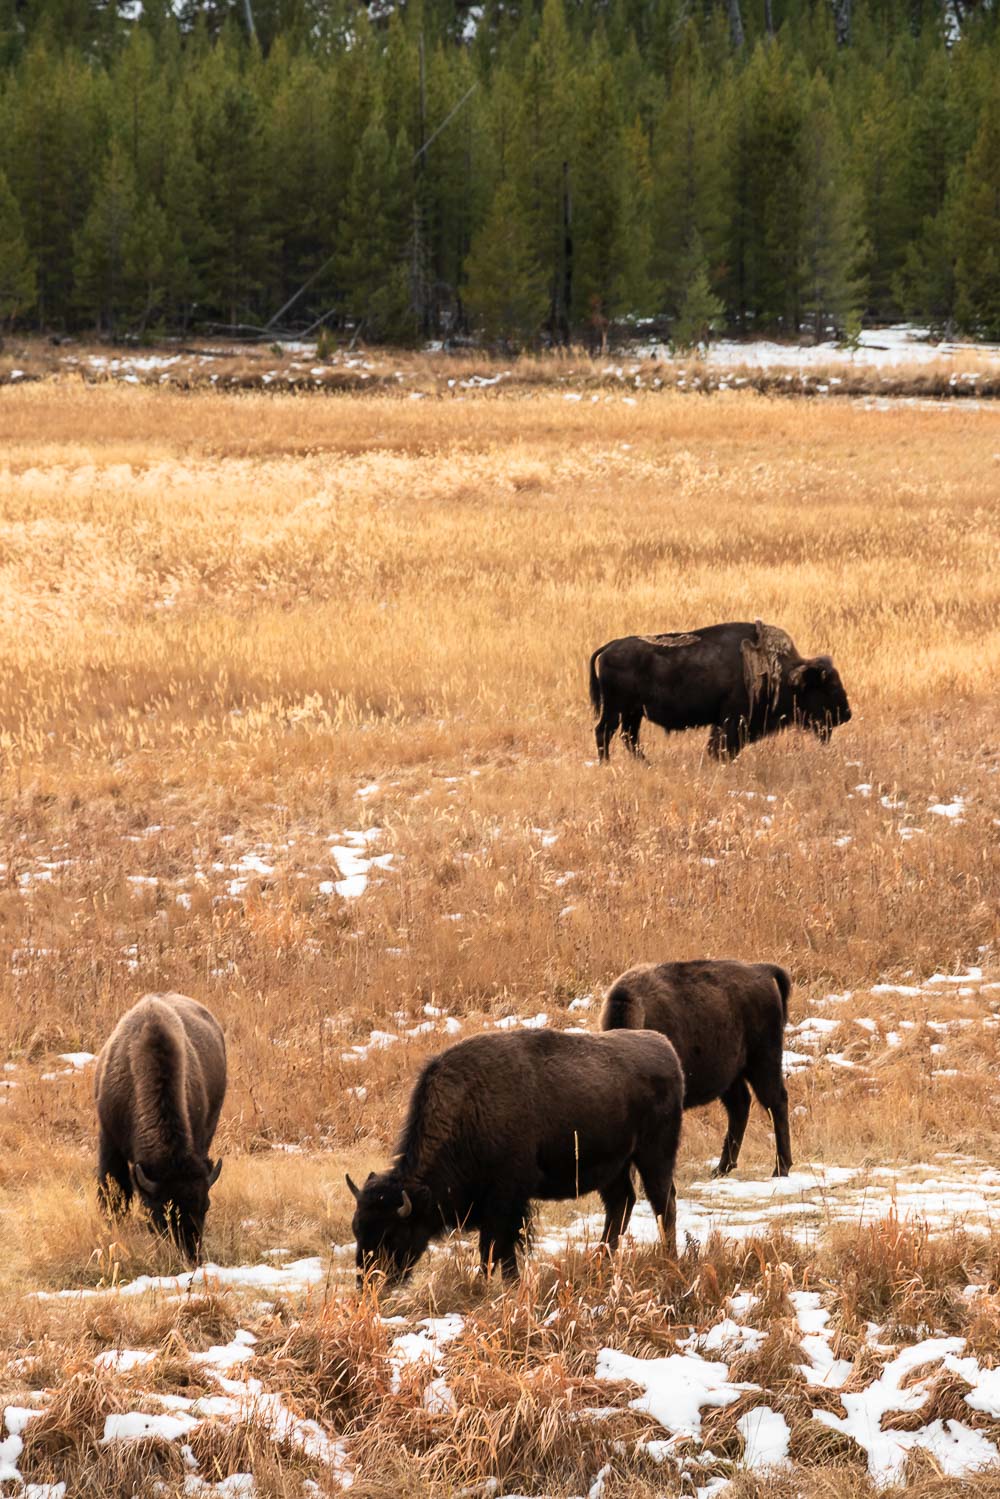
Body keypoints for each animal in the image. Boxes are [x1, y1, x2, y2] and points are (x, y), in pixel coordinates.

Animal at [347, 1031, 683, 1289]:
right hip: (614, 1168)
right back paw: (601, 1260)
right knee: (621, 1204)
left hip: (654, 1157)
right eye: (357, 1230)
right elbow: (491, 1247)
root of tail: (666, 1048)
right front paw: (485, 1282)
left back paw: (669, 1259)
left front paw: (507, 1284)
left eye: (392, 1233)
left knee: (663, 1204)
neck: (469, 1108)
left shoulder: (507, 1200)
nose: (368, 1283)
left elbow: (500, 1247)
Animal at [590, 617, 851, 761]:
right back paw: (607, 764)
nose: (846, 714)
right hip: (616, 710)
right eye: (828, 687)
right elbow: (723, 745)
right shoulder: (733, 719)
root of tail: (609, 647)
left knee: (628, 737)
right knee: (604, 732)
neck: (779, 671)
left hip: (633, 713)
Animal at [599, 959, 791, 1181]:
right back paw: (721, 1168)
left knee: (776, 1103)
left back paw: (780, 1169)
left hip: (763, 1063)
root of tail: (762, 970)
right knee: (740, 1106)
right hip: (731, 1076)